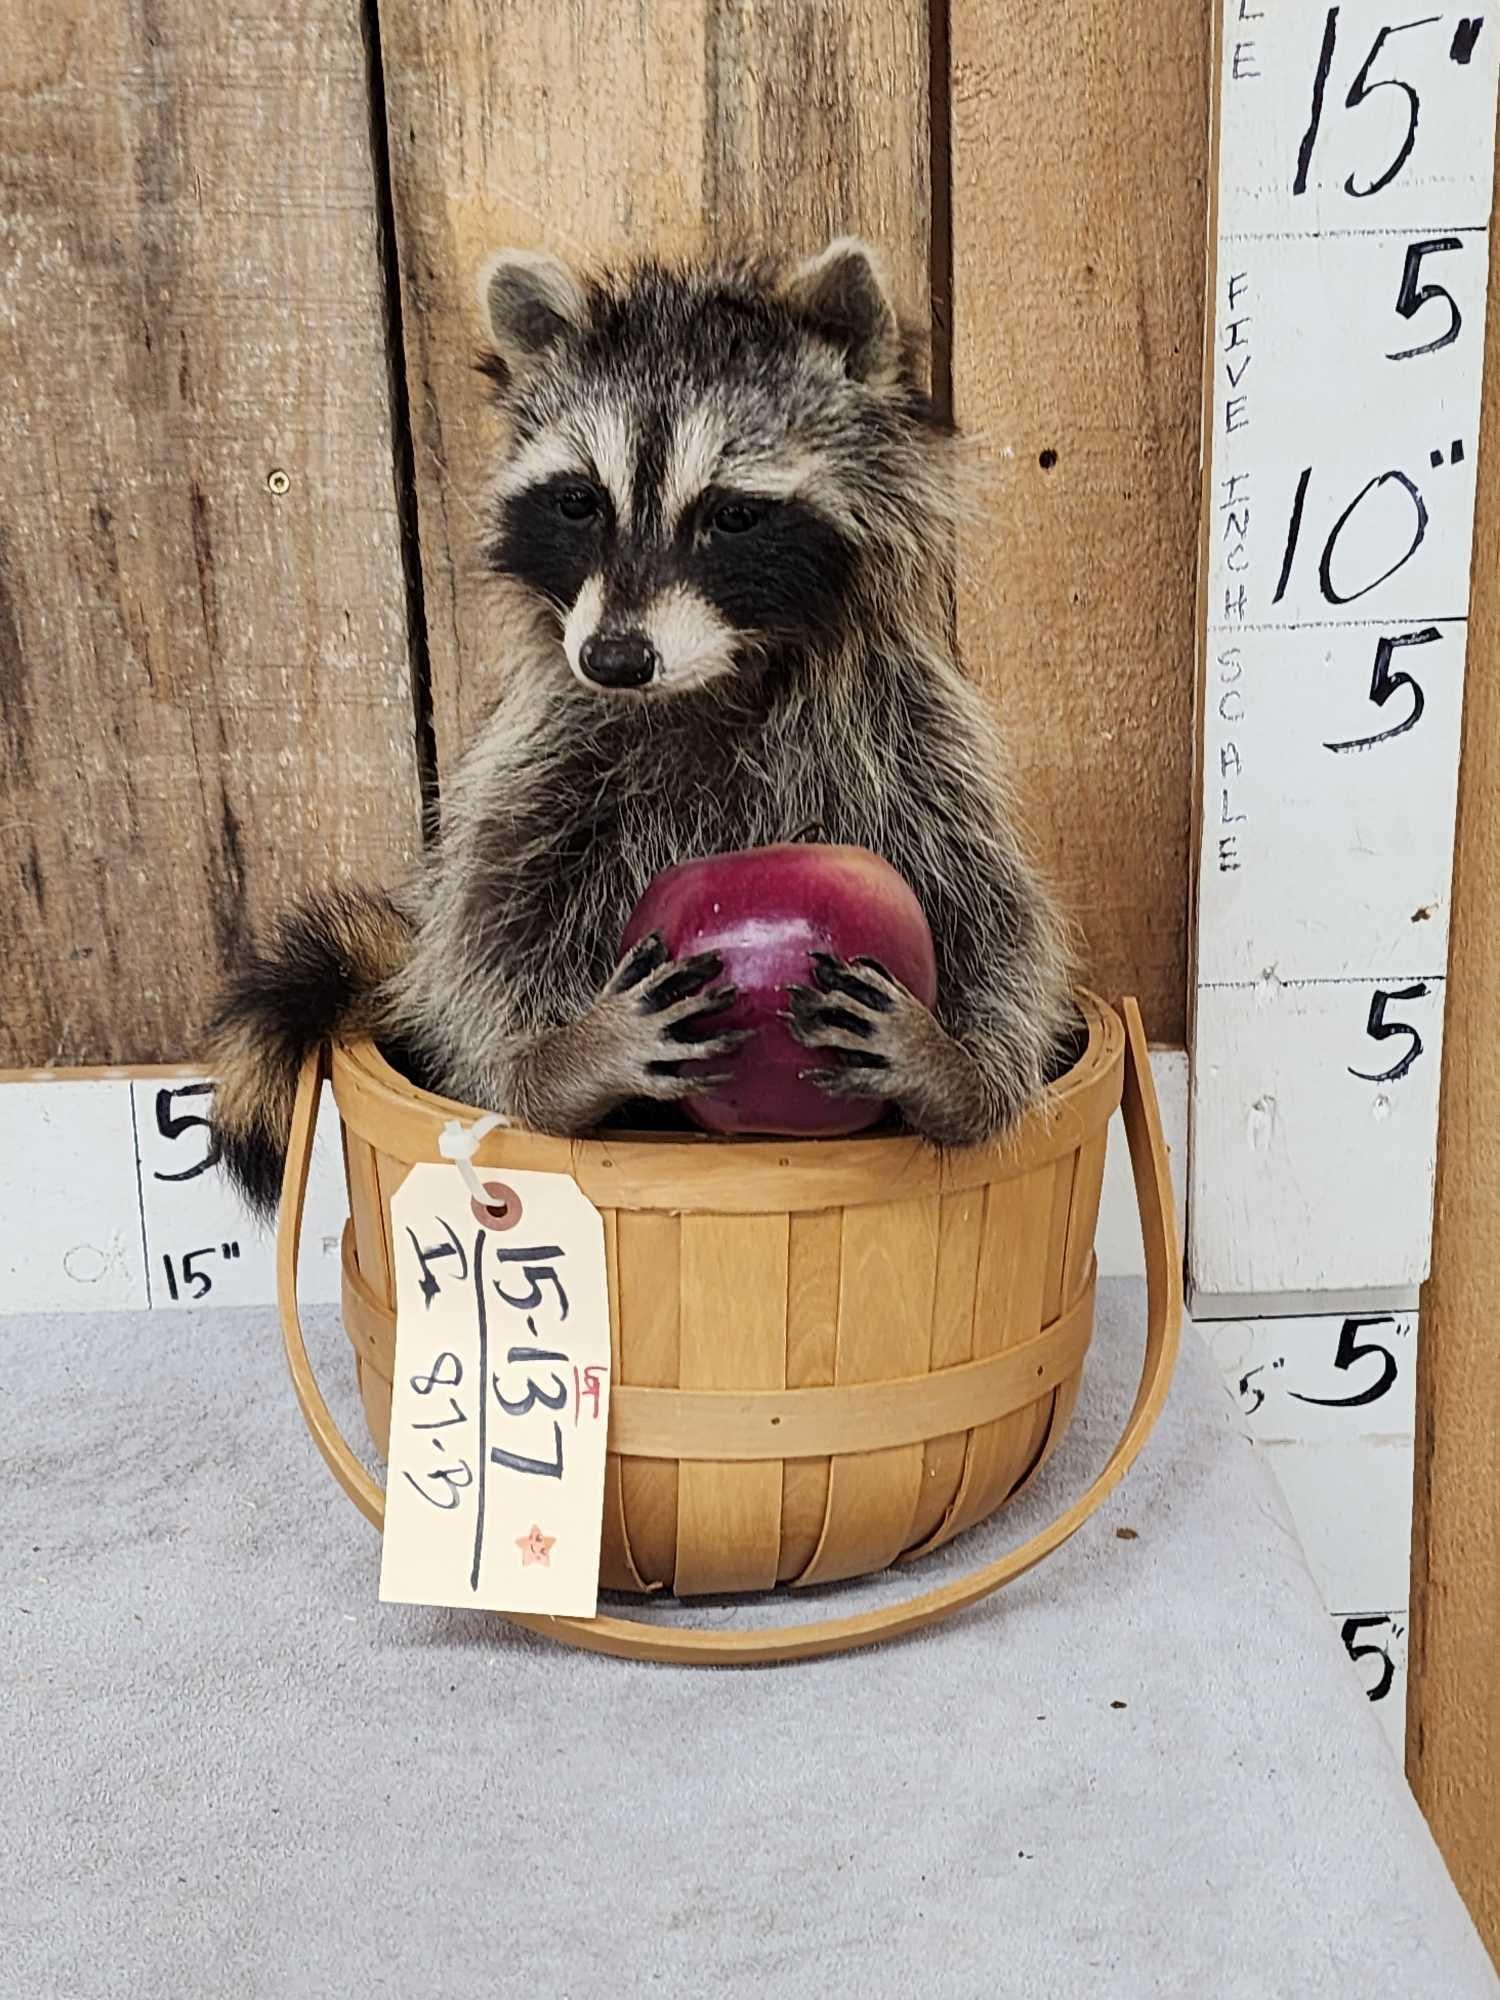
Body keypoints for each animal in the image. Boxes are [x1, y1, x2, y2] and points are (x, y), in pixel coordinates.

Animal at [206, 236, 1076, 1216]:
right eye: (580, 501)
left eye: (733, 515)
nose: (615, 659)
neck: (711, 679)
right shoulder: (539, 747)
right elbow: (485, 935)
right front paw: (553, 1063)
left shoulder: (913, 731)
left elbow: (998, 919)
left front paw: (960, 1071)